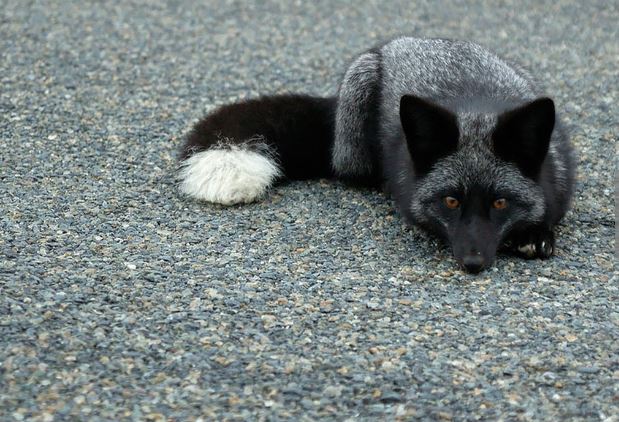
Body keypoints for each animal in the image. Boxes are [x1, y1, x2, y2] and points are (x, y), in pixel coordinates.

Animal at [179, 36, 576, 274]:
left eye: (499, 203)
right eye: (450, 201)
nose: (473, 262)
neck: (476, 108)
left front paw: (536, 233)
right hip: (357, 110)